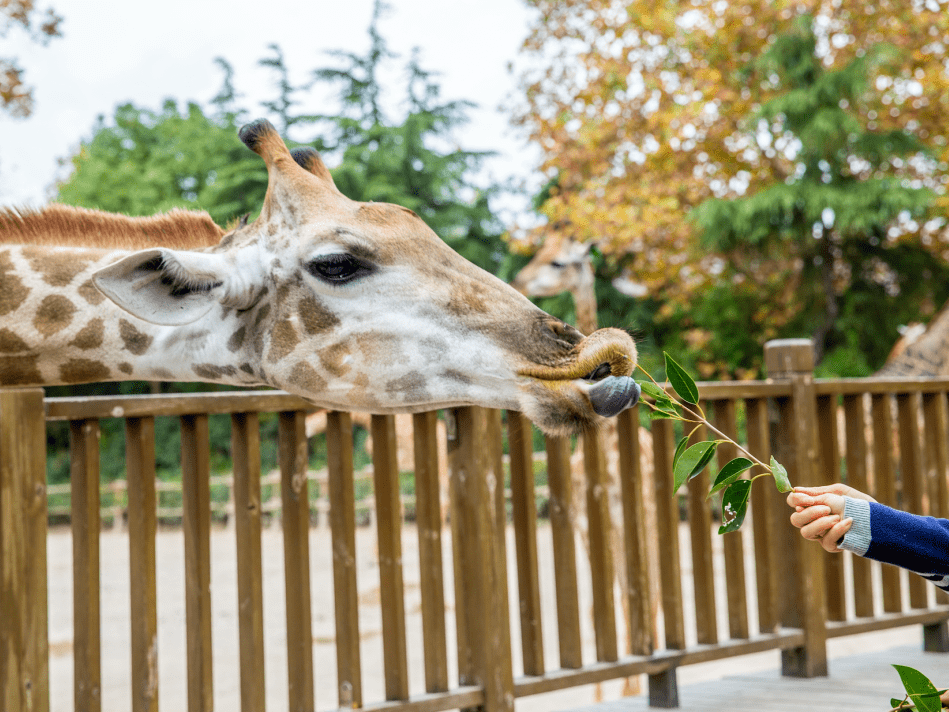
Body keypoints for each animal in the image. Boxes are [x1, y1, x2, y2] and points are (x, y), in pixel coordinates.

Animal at [512, 232, 660, 696]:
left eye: (558, 261)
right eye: (539, 251)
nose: (521, 278)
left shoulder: (630, 514)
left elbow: (634, 592)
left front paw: (633, 685)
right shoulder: (584, 522)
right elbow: (600, 601)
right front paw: (608, 688)